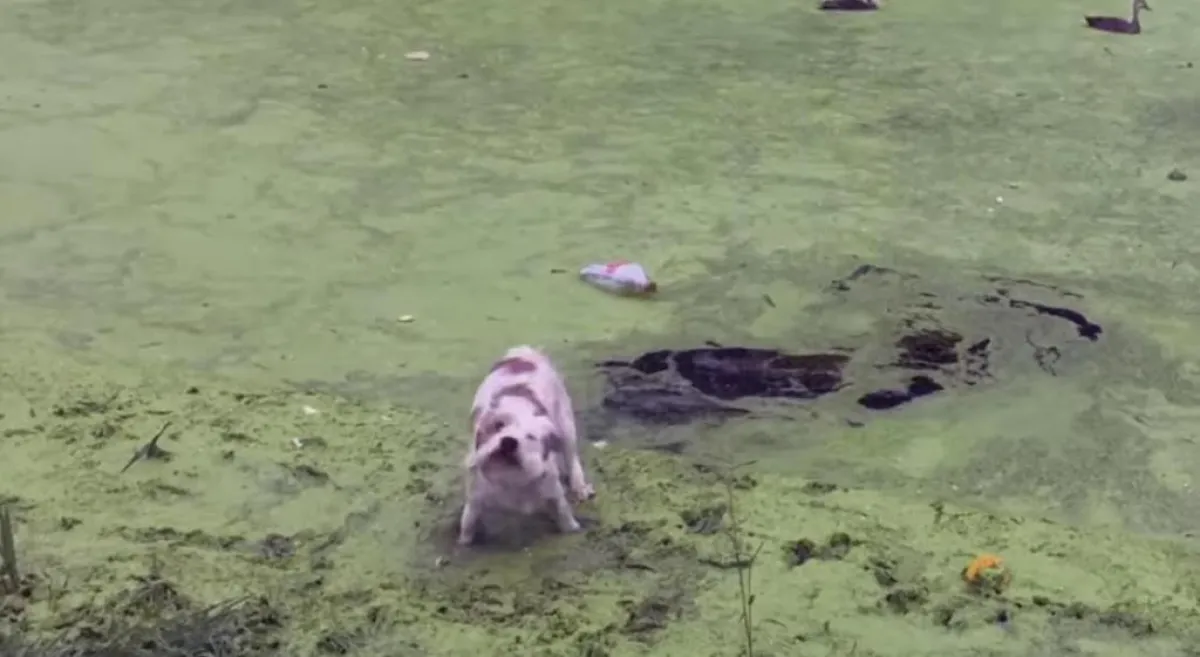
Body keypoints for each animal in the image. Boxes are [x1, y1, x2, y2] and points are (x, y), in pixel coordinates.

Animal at [458, 345, 594, 546]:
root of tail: (523, 352)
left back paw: (579, 487)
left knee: (572, 458)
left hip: (566, 428)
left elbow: (564, 515)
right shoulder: (476, 496)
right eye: (498, 425)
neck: (512, 477)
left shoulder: (552, 489)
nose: (508, 441)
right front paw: (464, 542)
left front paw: (573, 528)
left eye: (530, 436)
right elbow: (468, 525)